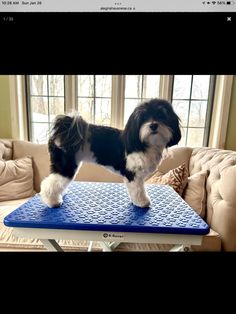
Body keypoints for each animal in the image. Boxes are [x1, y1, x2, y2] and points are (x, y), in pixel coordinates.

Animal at [40, 98, 181, 209]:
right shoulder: (133, 174)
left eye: (162, 115)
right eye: (143, 117)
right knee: (49, 183)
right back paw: (52, 201)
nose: (153, 125)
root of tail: (65, 130)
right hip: (66, 166)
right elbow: (138, 190)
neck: (144, 144)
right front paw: (142, 202)